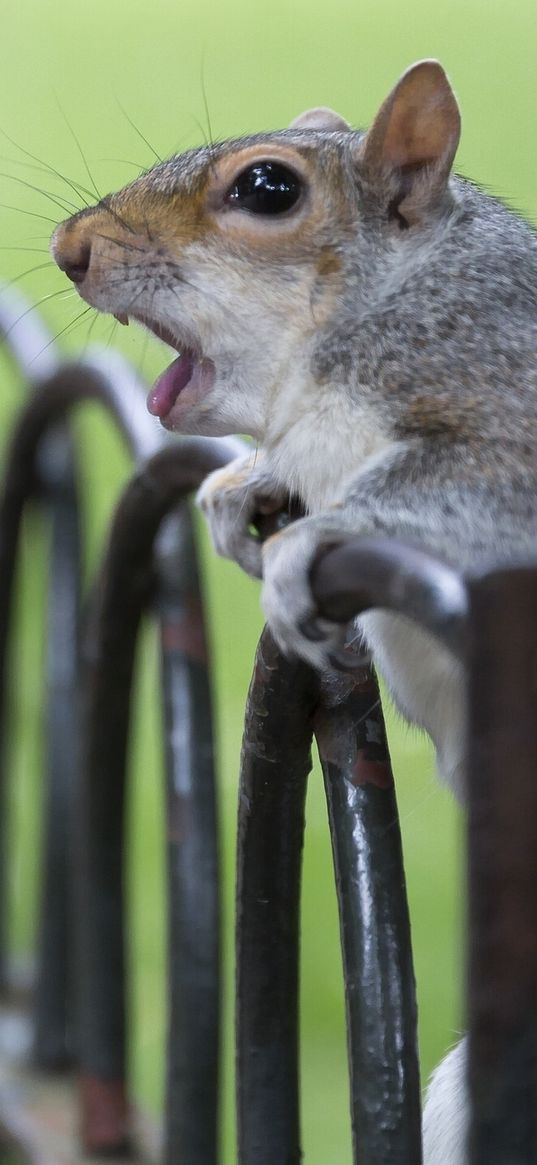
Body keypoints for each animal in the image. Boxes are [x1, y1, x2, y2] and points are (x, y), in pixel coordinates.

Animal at [50, 63, 535, 1165]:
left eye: (266, 189)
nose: (70, 248)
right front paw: (242, 489)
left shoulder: (504, 402)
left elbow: (461, 484)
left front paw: (311, 541)